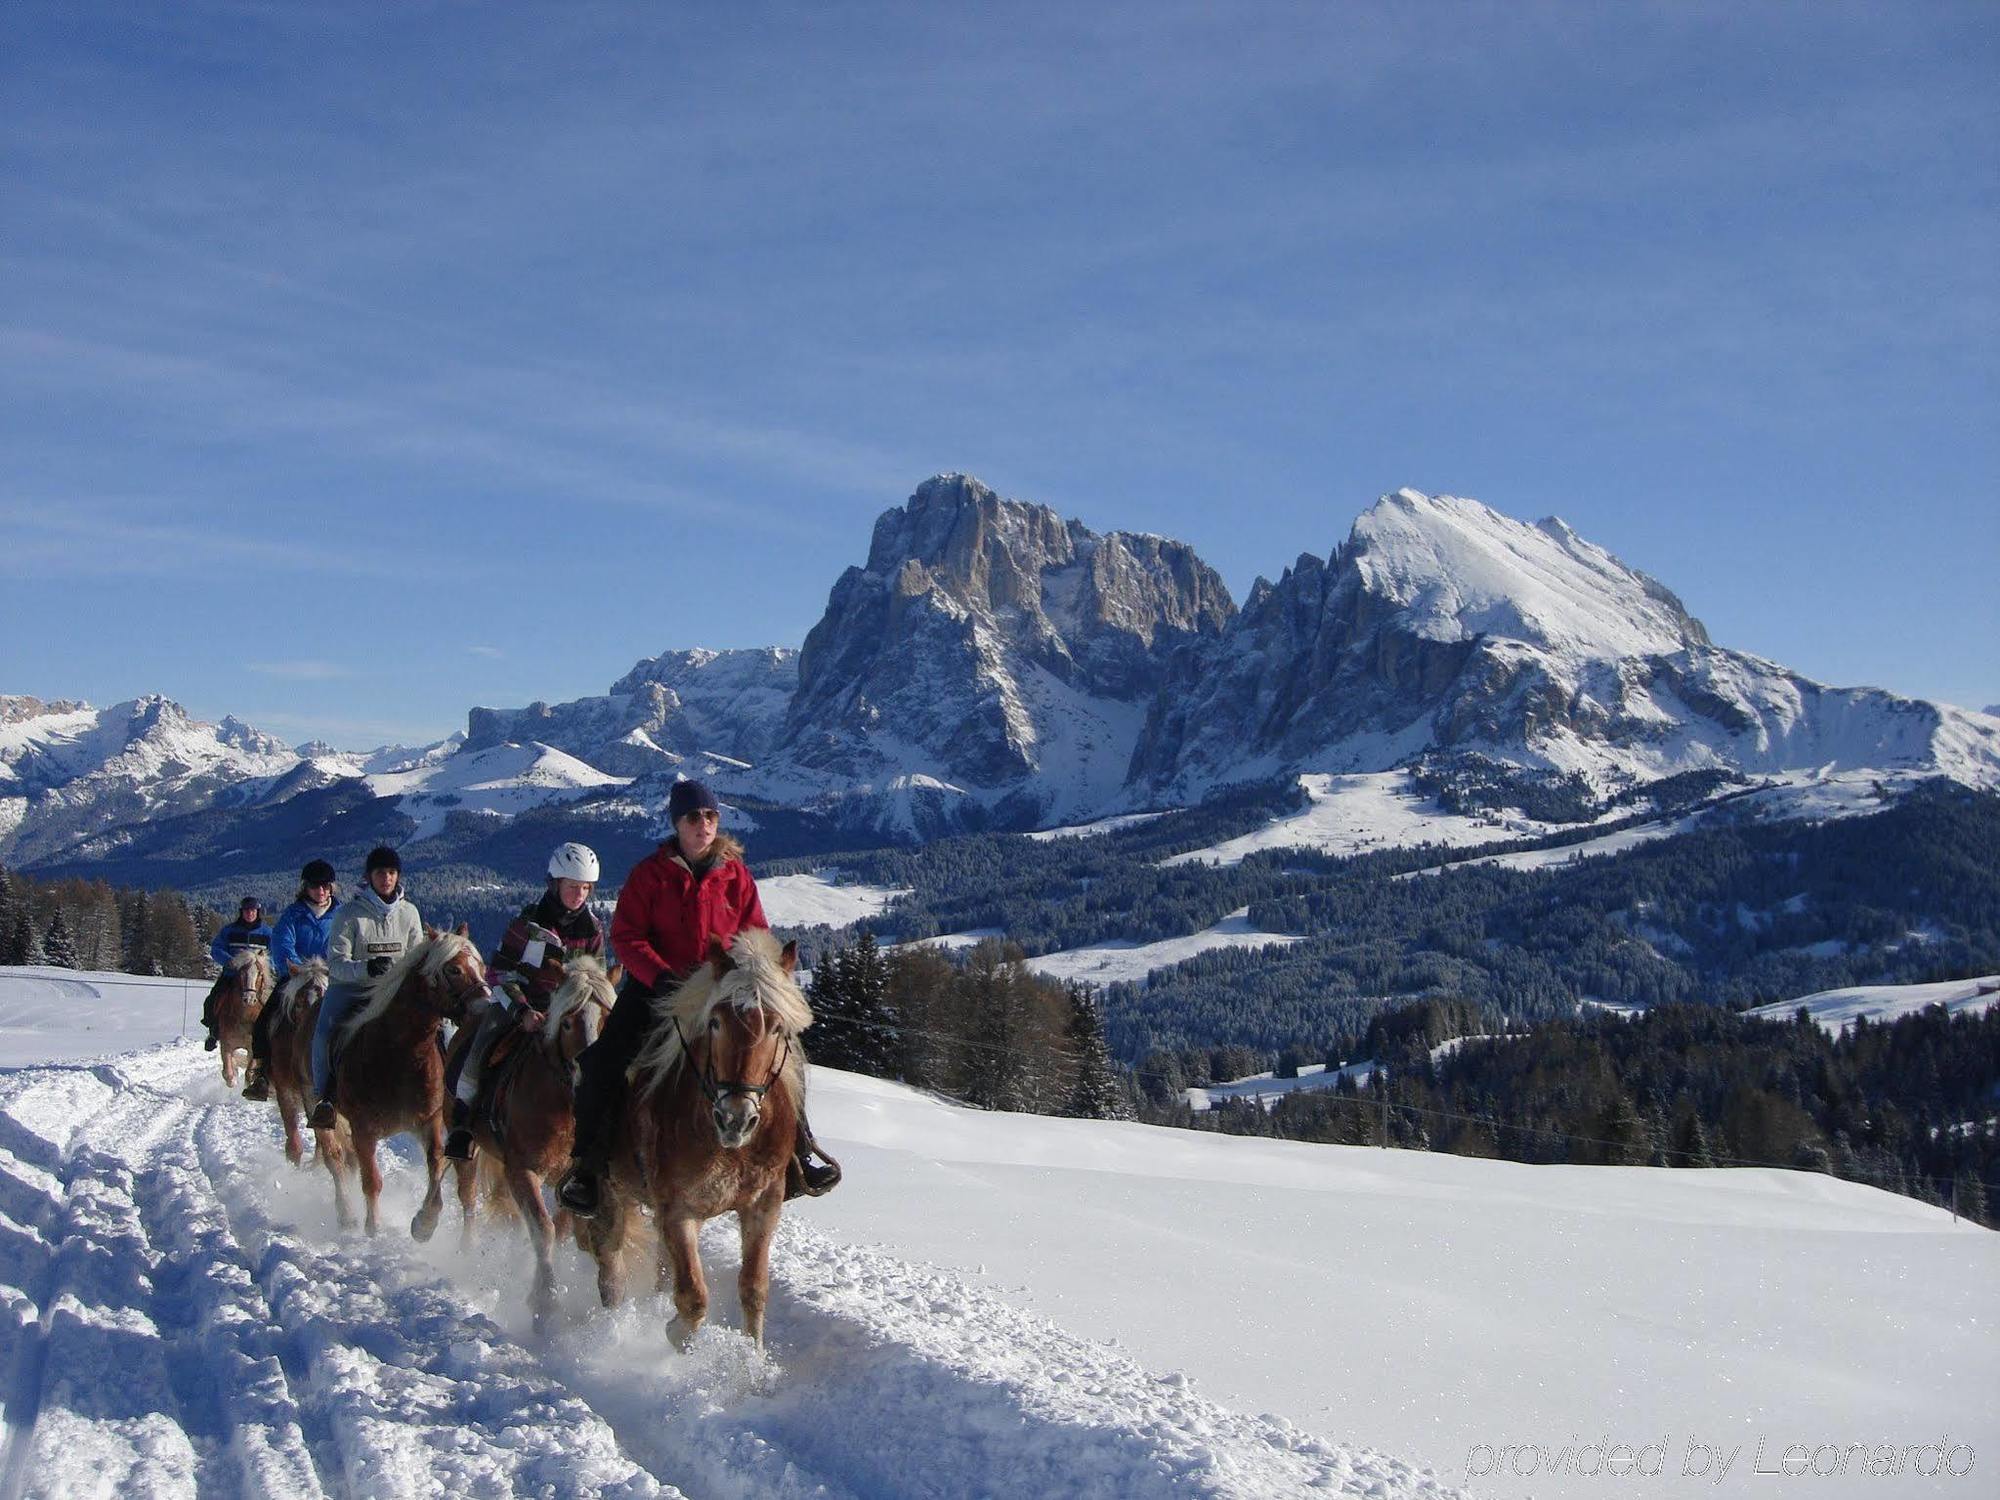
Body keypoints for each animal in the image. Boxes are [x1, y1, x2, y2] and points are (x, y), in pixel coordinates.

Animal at [213, 952, 274, 1096]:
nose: (249, 999)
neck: (244, 1017)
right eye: (242, 973)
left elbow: (249, 1074)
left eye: (260, 974)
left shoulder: (253, 1049)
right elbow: (229, 1074)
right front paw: (233, 1077)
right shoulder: (226, 1044)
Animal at [328, 928, 488, 1248]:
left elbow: (436, 1164)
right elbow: (372, 1180)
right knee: (334, 1157)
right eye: (454, 969)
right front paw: (373, 1228)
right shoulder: (363, 1129)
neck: (397, 1054)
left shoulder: (429, 1122)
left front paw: (425, 1223)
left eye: (482, 967)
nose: (486, 1006)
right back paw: (346, 1213)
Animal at [456, 956, 616, 1320]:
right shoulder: (523, 1170)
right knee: (466, 1196)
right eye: (567, 1023)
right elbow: (544, 1230)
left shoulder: (572, 1183)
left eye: (608, 1020)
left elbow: (561, 1229)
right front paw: (546, 1299)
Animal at [580, 928, 812, 1352]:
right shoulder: (677, 1209)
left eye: (776, 1027)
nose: (736, 1119)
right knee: (611, 1267)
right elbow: (692, 1299)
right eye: (716, 1022)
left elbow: (754, 1289)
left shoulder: (763, 1205)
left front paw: (751, 1360)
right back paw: (613, 1331)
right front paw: (677, 1339)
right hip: (609, 1192)